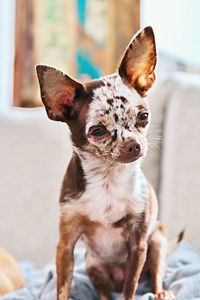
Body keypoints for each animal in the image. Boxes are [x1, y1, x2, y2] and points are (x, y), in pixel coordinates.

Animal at [36, 27, 174, 298]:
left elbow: (130, 290)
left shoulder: (138, 243)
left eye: (143, 116)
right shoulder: (66, 244)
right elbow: (62, 287)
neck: (108, 178)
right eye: (98, 131)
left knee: (155, 276)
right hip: (92, 265)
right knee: (103, 291)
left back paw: (161, 292)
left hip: (156, 244)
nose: (133, 144)